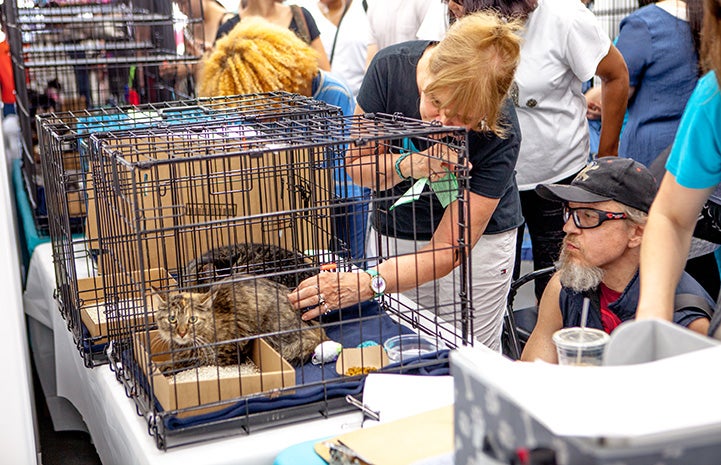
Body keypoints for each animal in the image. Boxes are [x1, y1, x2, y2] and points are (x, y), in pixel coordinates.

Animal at [150, 274, 324, 376]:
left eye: (192, 319)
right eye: (172, 319)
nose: (181, 332)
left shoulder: (228, 352)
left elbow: (189, 361)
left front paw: (162, 367)